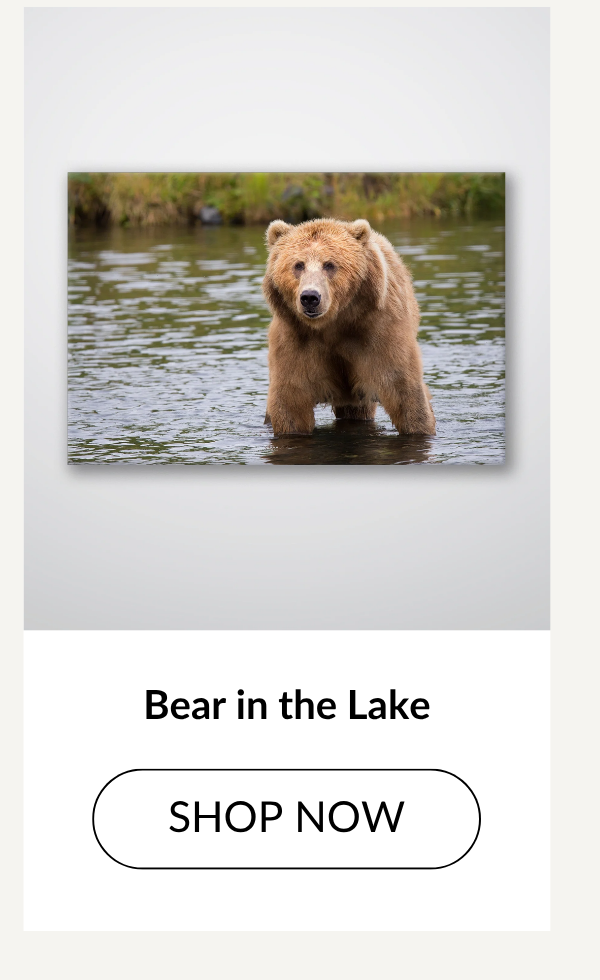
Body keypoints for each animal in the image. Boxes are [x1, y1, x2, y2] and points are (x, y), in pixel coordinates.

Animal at [262, 217, 436, 438]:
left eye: (329, 264)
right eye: (298, 265)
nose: (310, 297)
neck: (334, 324)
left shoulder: (378, 333)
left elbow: (403, 390)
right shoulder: (295, 339)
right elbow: (291, 401)